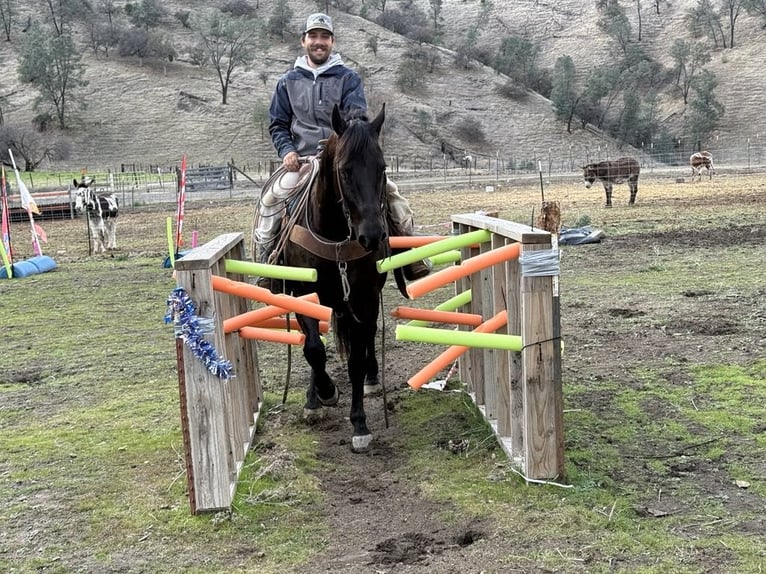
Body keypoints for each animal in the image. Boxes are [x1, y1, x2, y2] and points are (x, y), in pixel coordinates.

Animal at [280, 104, 390, 454]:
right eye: (344, 170)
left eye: (382, 167)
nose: (371, 236)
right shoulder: (304, 295)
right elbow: (314, 349)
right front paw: (323, 395)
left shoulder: (364, 298)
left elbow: (355, 359)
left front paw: (360, 424)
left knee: (367, 340)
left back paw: (372, 378)